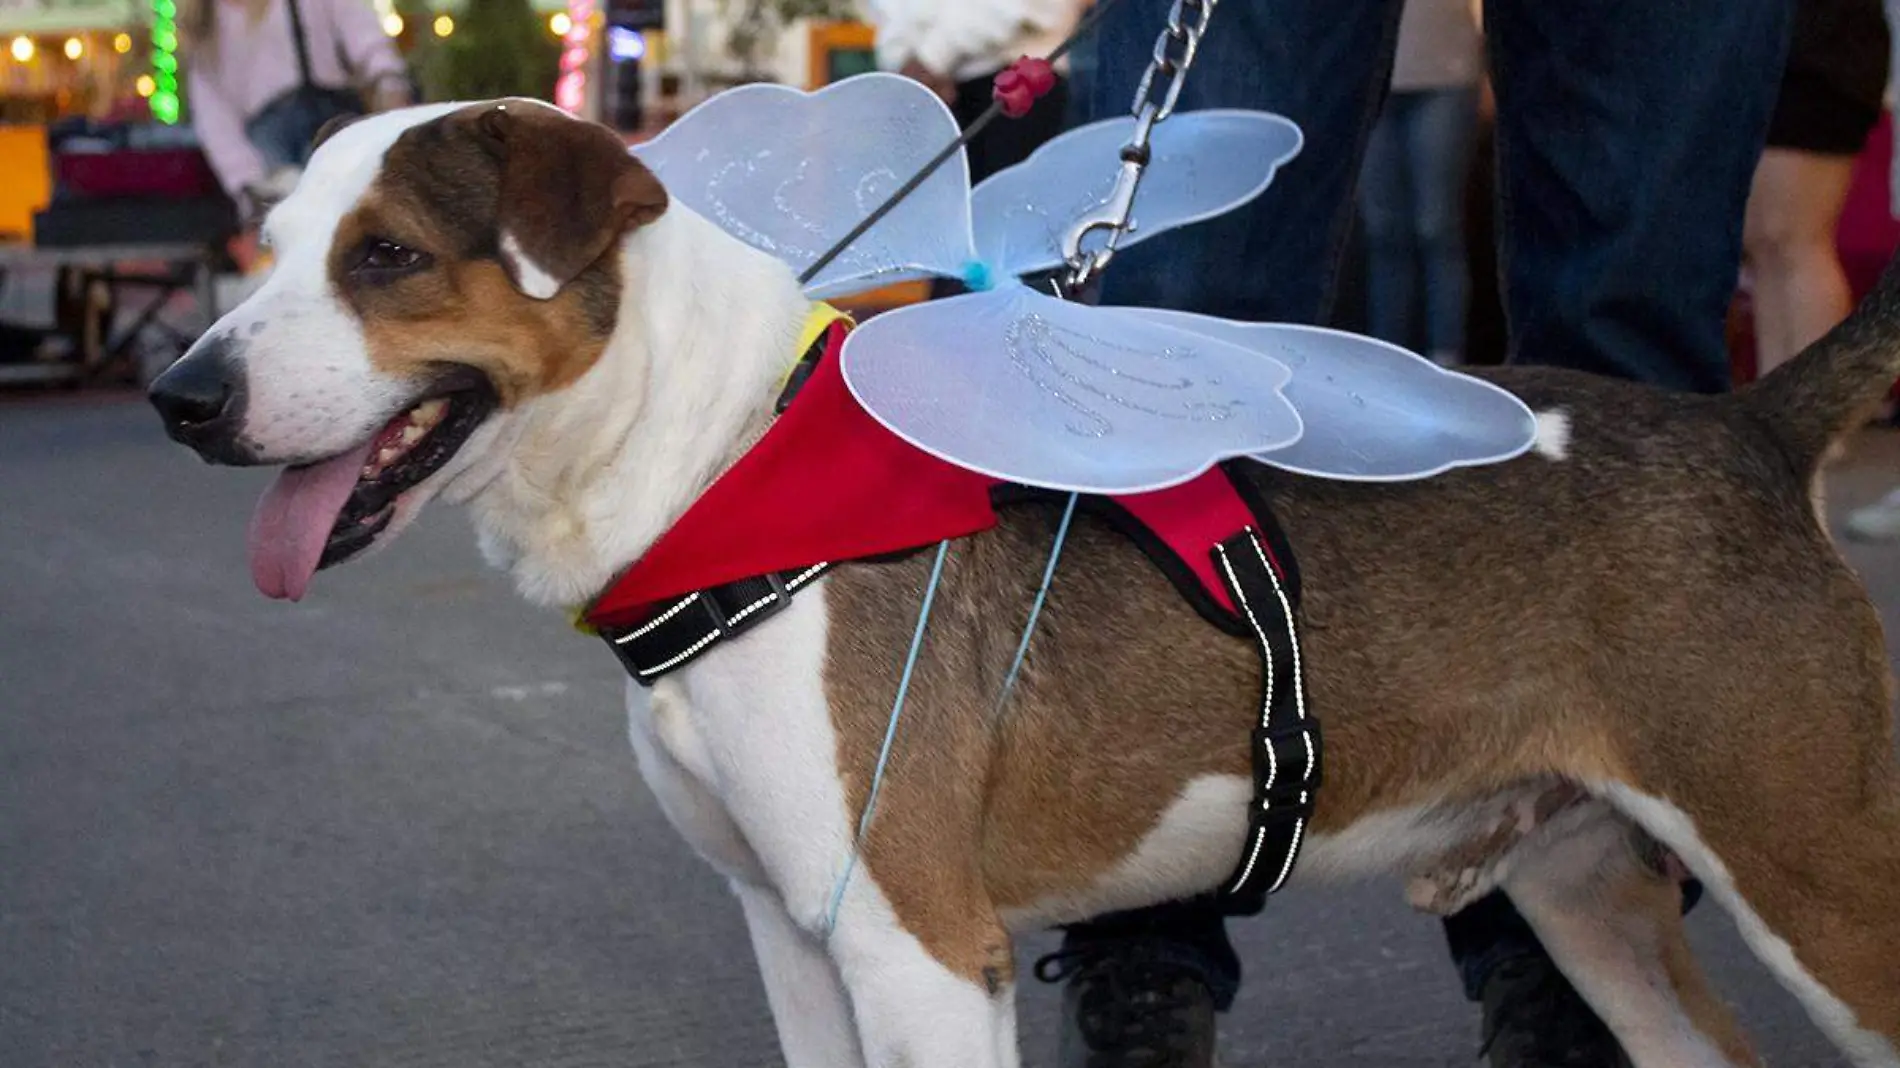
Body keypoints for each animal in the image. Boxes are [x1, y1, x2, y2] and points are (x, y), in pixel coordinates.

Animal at [152, 101, 1900, 1064]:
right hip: (1586, 891)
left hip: (1817, 879)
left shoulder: (918, 954)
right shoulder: (799, 943)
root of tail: (1745, 425)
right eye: (271, 242)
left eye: (387, 257)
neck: (723, 464)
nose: (177, 398)